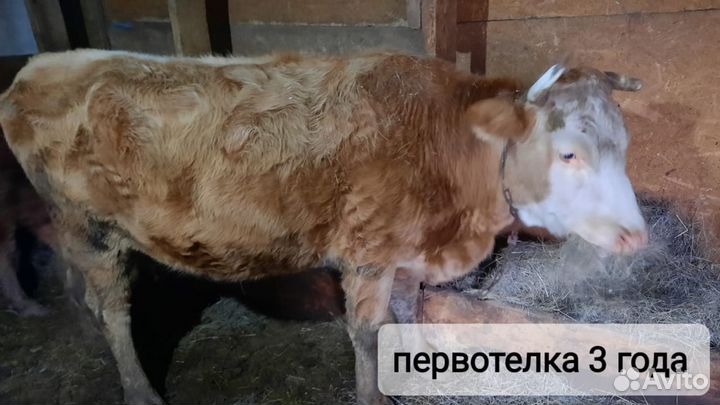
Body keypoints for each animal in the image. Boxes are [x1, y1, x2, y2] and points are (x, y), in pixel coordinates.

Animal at [0, 50, 646, 405]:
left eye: (625, 145)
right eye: (568, 153)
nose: (638, 237)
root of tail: (42, 65)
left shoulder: (406, 255)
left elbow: (407, 318)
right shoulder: (367, 252)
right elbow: (368, 333)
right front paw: (374, 395)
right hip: (88, 229)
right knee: (112, 309)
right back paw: (138, 390)